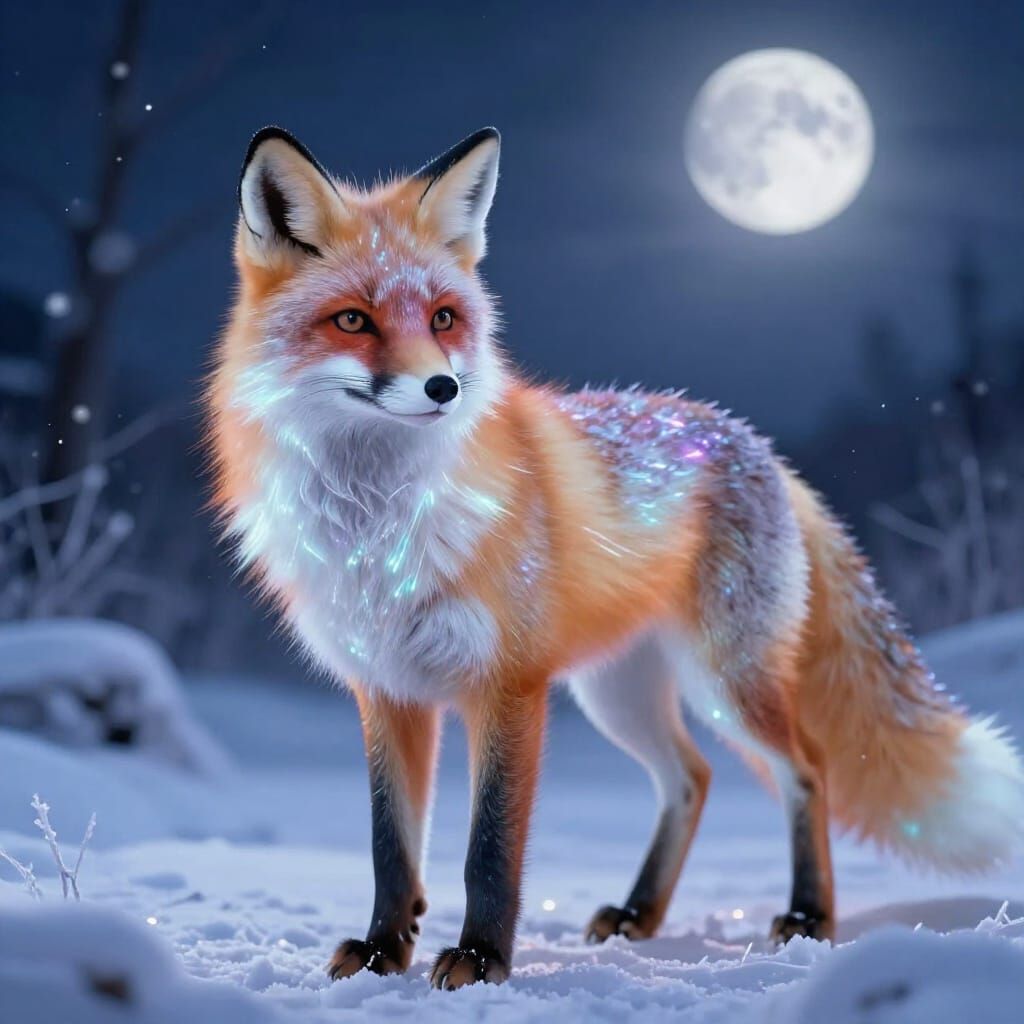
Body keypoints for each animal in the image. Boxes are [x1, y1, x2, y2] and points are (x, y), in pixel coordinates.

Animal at [207, 125, 1024, 989]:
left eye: (443, 317)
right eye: (354, 321)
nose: (443, 389)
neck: (380, 533)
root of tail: (755, 443)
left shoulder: (508, 687)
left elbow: (488, 850)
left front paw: (481, 957)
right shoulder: (387, 690)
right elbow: (391, 849)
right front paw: (381, 952)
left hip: (724, 681)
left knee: (807, 771)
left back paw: (808, 916)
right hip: (619, 694)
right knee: (692, 779)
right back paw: (640, 914)